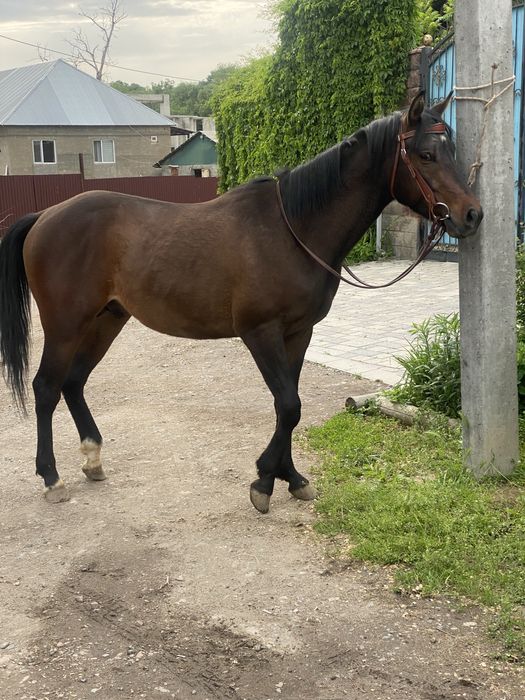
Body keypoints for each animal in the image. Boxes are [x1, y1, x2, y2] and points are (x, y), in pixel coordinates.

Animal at [0, 91, 482, 513]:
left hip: (107, 319)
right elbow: (288, 405)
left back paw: (93, 460)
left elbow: (290, 406)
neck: (293, 228)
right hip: (65, 324)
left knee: (73, 383)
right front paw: (265, 480)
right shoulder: (260, 332)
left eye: (452, 148)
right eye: (426, 154)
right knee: (46, 388)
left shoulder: (298, 333)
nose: (472, 215)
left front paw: (290, 477)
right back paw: (52, 478)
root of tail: (44, 216)